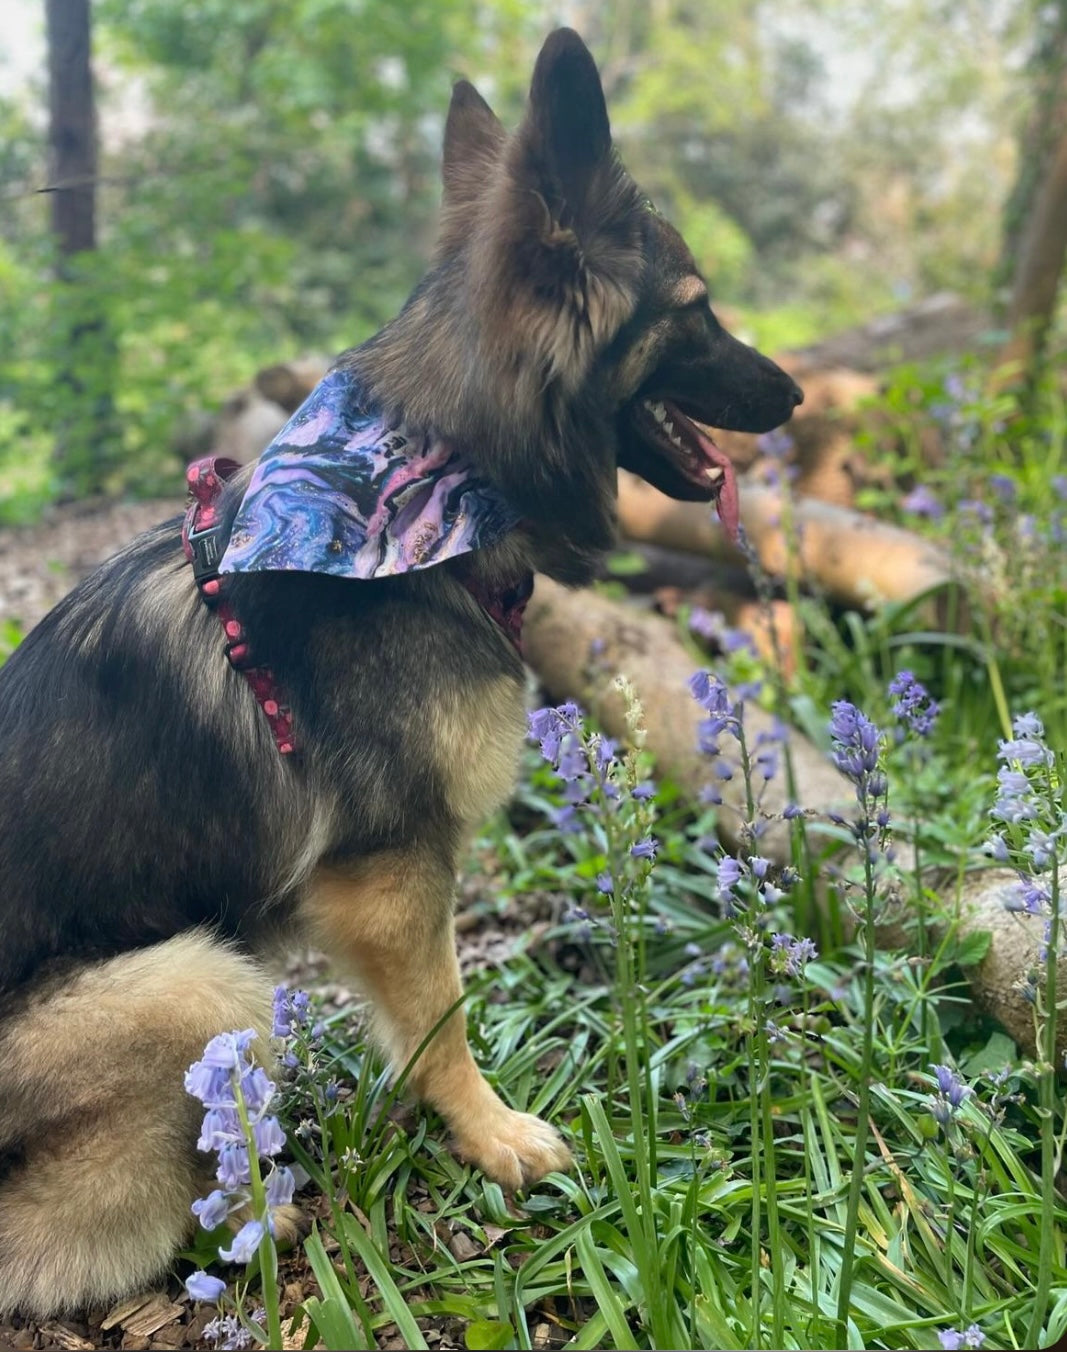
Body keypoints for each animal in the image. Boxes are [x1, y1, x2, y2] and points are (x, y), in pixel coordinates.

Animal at [0, 34, 800, 1319]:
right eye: (694, 311)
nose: (794, 395)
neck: (420, 493)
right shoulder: (389, 874)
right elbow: (441, 1021)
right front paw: (490, 1132)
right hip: (199, 982)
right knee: (70, 1233)